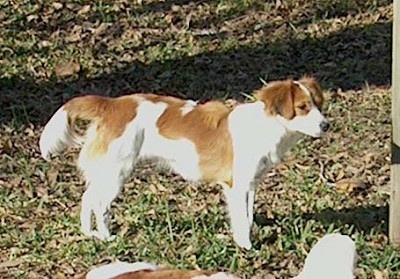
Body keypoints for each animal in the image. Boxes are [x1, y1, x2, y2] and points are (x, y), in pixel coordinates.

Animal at [39, 77, 328, 249]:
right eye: (303, 107)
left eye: (319, 105)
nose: (326, 125)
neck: (265, 125)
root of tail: (112, 105)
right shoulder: (236, 187)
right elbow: (240, 219)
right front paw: (246, 247)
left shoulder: (250, 185)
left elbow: (247, 216)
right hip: (117, 171)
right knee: (100, 205)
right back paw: (106, 235)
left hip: (106, 171)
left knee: (87, 198)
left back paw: (89, 234)